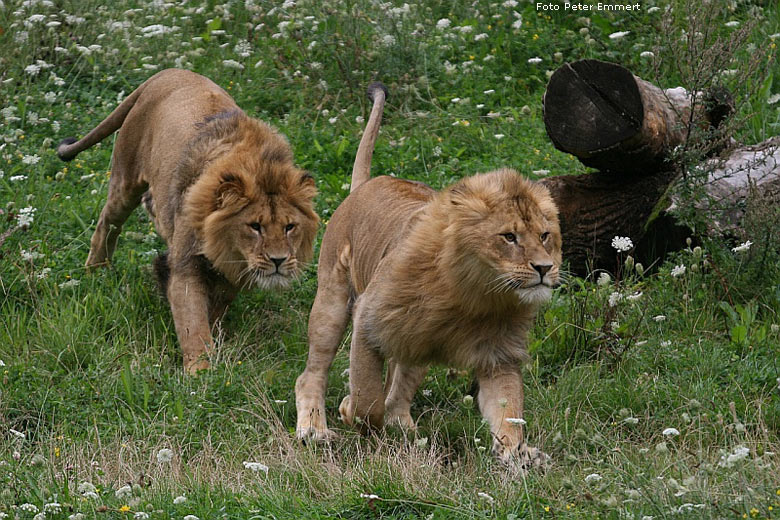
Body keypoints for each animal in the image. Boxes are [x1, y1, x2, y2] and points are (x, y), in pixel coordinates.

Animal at [56, 68, 320, 374]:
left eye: (290, 227)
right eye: (255, 227)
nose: (279, 260)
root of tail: (167, 72)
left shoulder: (232, 272)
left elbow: (215, 308)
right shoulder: (186, 265)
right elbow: (192, 322)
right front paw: (201, 372)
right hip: (125, 179)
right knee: (107, 224)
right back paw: (96, 271)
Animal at [294, 84, 560, 468]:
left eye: (545, 236)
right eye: (509, 237)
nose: (544, 268)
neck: (474, 294)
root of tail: (365, 185)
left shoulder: (498, 354)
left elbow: (508, 410)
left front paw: (517, 454)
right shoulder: (369, 321)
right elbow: (367, 399)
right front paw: (348, 410)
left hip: (416, 343)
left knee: (399, 388)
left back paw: (403, 427)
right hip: (332, 302)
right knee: (312, 373)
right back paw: (314, 430)